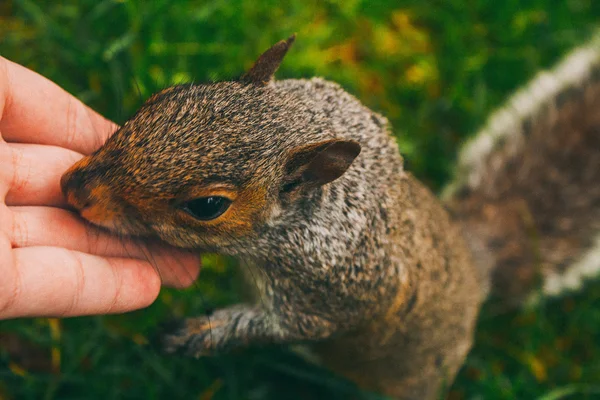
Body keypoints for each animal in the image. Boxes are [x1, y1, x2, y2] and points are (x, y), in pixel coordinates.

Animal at [59, 32, 600, 400]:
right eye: (166, 97)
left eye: (208, 206)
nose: (75, 189)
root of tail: (475, 262)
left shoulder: (329, 294)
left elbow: (282, 327)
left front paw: (192, 334)